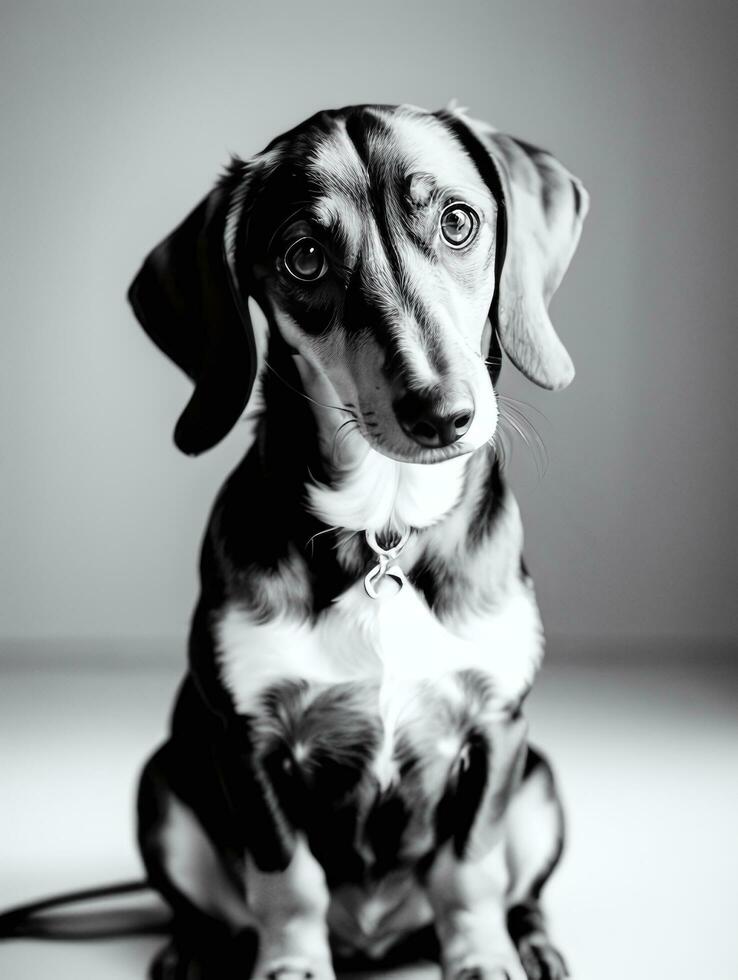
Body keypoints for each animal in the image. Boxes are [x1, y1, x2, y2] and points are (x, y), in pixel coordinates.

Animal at [126, 105, 588, 980]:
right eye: (305, 256)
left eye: (457, 221)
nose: (442, 413)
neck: (385, 530)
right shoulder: (250, 739)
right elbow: (287, 881)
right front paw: (292, 965)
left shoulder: (499, 725)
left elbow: (470, 870)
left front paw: (483, 958)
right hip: (162, 784)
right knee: (211, 904)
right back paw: (194, 949)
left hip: (542, 783)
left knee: (518, 889)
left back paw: (533, 942)